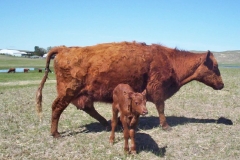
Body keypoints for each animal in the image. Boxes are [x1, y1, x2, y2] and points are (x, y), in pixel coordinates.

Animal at [36, 41, 225, 138]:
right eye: (215, 66)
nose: (222, 84)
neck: (170, 60)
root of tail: (64, 49)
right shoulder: (157, 90)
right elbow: (161, 108)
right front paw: (166, 126)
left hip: (81, 94)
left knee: (88, 108)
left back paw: (109, 124)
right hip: (68, 92)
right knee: (57, 108)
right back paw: (56, 133)